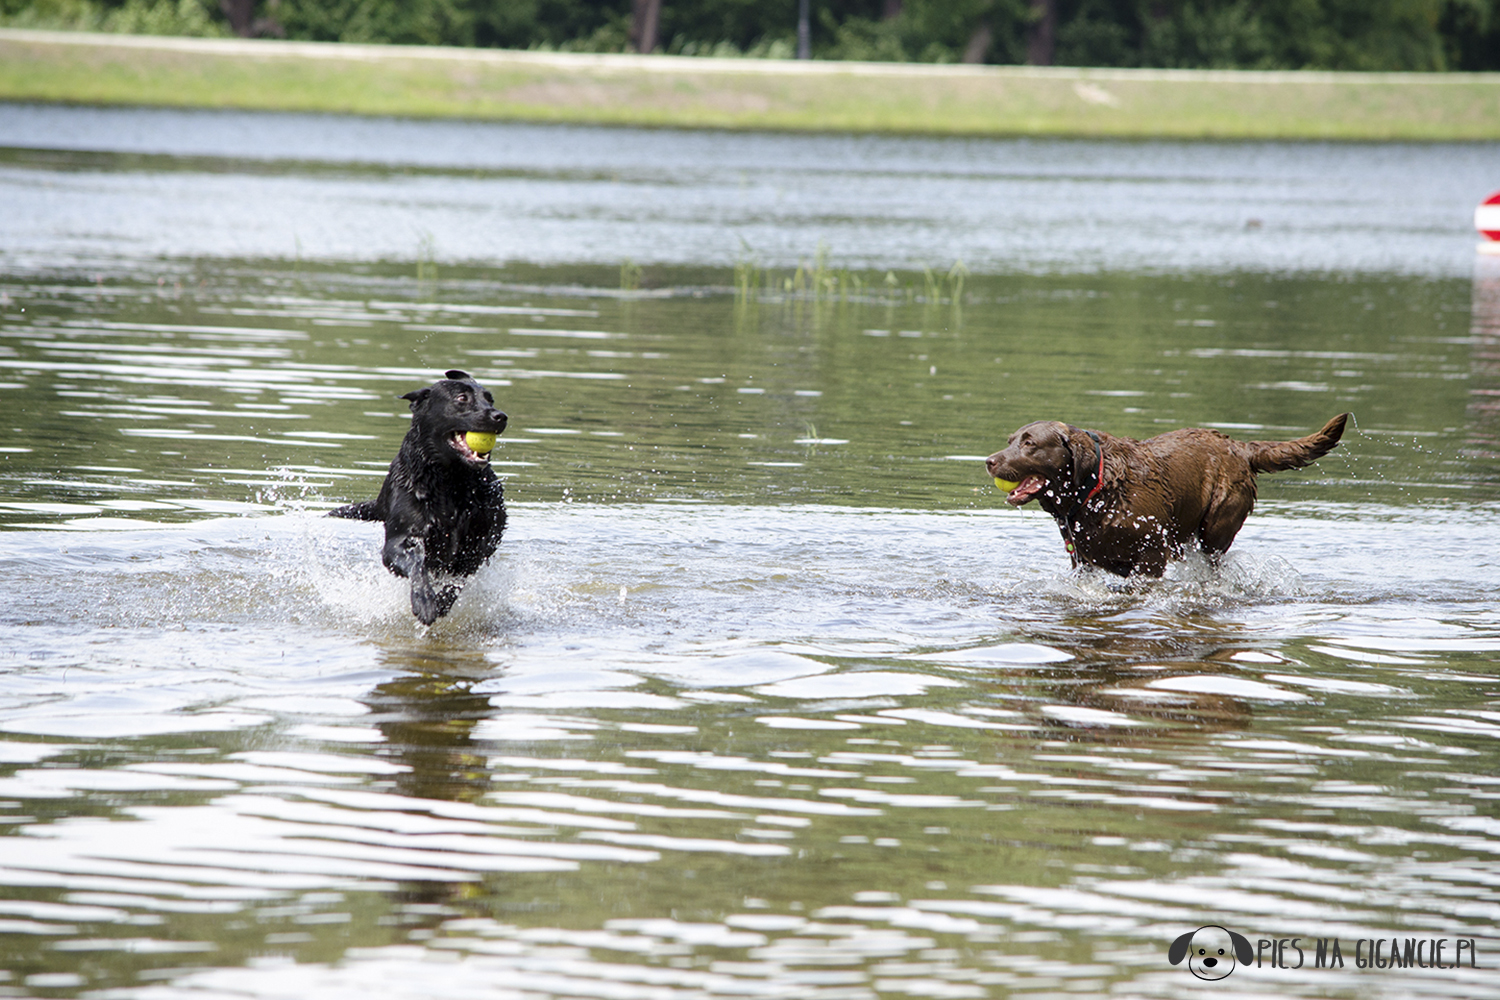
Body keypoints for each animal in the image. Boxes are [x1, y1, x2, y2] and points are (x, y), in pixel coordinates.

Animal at [331, 371, 507, 620]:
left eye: (490, 399)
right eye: (462, 398)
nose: (500, 416)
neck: (450, 481)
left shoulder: (480, 544)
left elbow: (458, 579)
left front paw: (442, 601)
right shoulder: (396, 544)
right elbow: (417, 564)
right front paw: (424, 600)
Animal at [984, 413, 1350, 575]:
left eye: (1030, 444)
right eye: (1010, 441)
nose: (989, 461)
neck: (1097, 490)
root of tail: (1239, 446)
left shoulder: (1152, 556)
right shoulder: (1084, 561)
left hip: (1216, 526)